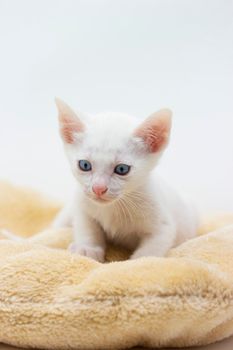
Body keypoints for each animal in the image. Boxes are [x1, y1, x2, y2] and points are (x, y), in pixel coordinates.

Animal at [53, 98, 198, 262]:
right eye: (84, 165)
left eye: (122, 169)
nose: (98, 188)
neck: (113, 207)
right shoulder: (82, 208)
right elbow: (87, 227)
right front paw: (87, 249)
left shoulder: (163, 228)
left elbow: (149, 252)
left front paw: (137, 262)